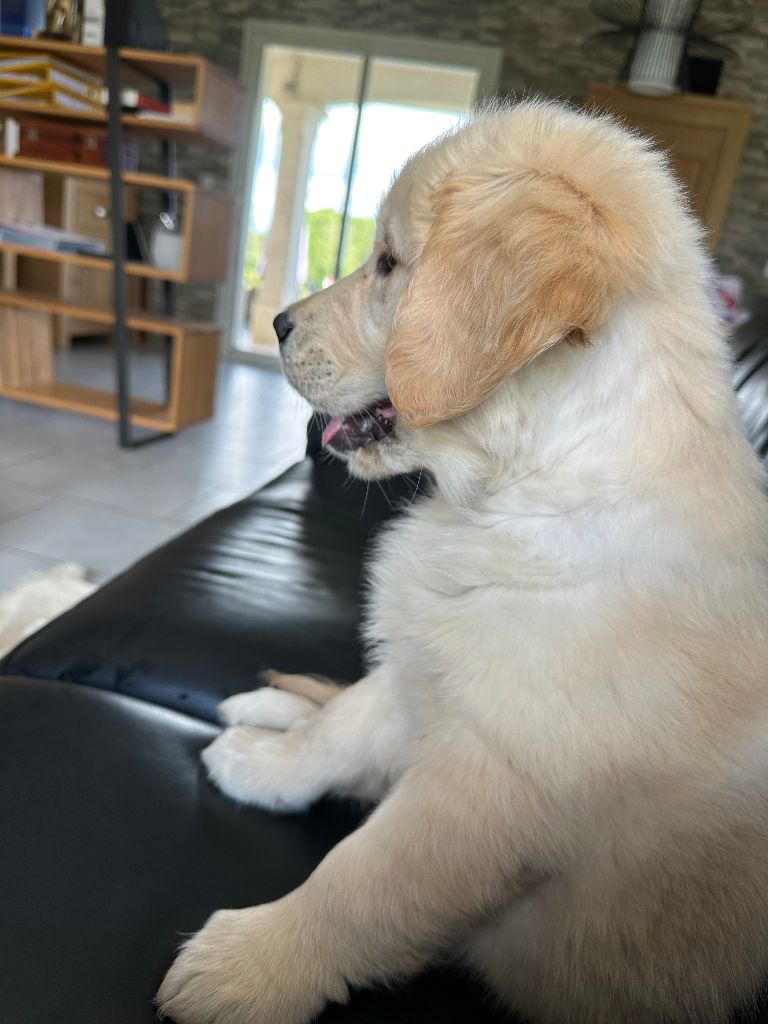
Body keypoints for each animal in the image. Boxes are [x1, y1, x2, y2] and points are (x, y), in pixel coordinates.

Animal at [156, 101, 768, 1024]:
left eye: (387, 263)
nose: (278, 324)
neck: (527, 489)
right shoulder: (430, 662)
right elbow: (342, 729)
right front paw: (267, 767)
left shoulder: (488, 780)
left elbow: (362, 880)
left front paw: (248, 968)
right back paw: (268, 709)